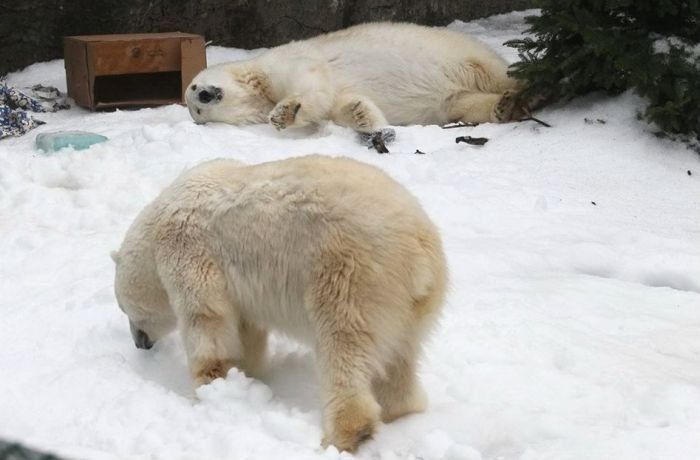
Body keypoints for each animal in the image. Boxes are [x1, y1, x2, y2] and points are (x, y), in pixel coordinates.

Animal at [109, 155, 448, 452]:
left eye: (125, 310)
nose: (139, 343)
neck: (156, 226)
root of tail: (420, 248)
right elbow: (246, 329)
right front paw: (246, 376)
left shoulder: (188, 249)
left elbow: (206, 318)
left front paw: (210, 387)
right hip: (409, 307)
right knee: (400, 360)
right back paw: (398, 409)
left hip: (349, 278)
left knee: (343, 348)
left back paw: (343, 435)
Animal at [186, 22, 524, 140]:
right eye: (197, 110)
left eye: (192, 88)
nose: (203, 95)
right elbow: (342, 105)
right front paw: (369, 122)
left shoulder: (282, 63)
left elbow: (311, 83)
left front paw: (284, 113)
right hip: (453, 96)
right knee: (462, 102)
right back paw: (504, 107)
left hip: (461, 54)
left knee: (495, 74)